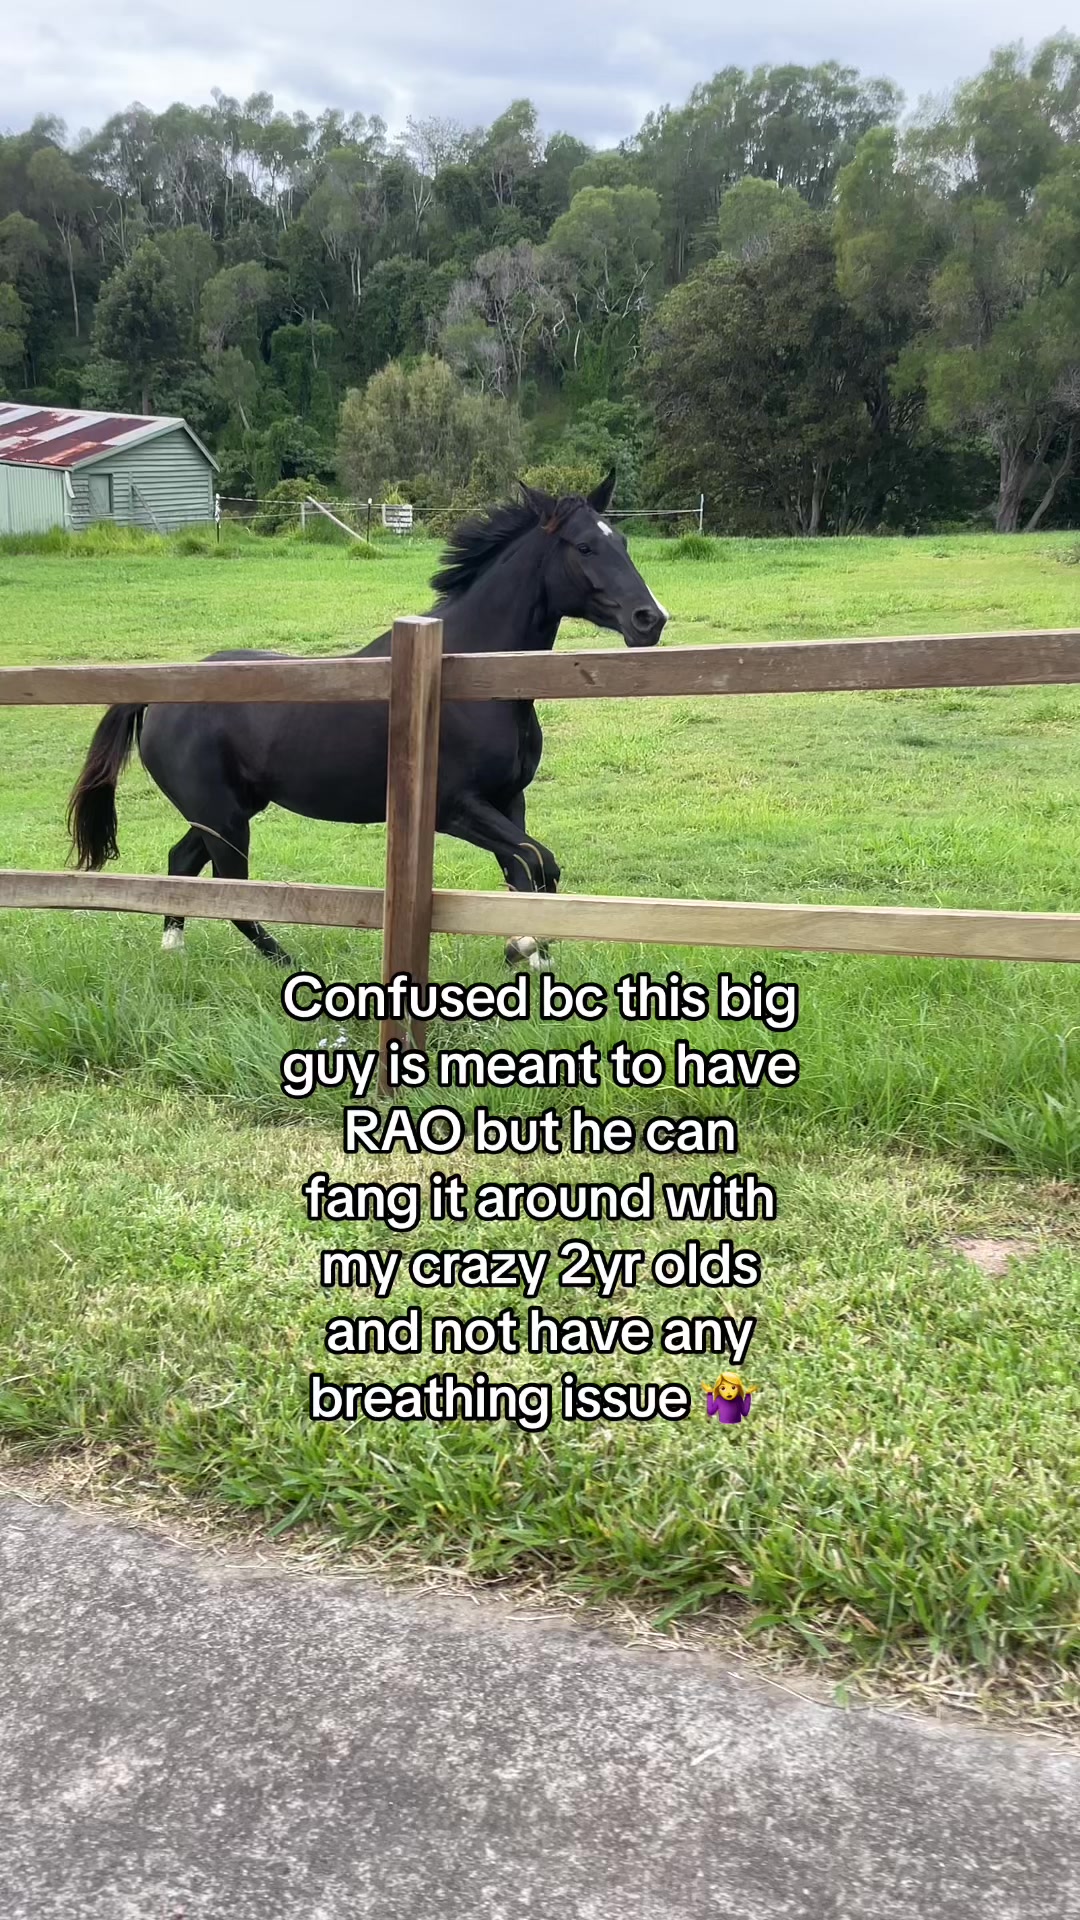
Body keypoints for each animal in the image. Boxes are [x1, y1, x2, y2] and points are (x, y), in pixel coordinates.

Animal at [66, 471, 668, 971]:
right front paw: (525, 946)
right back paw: (288, 965)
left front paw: (528, 953)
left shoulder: (508, 799)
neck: (465, 677)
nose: (650, 619)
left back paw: (175, 951)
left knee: (182, 865)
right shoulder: (454, 809)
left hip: (227, 811)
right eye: (584, 546)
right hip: (223, 817)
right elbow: (539, 861)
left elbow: (526, 868)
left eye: (622, 542)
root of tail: (159, 698)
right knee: (231, 893)